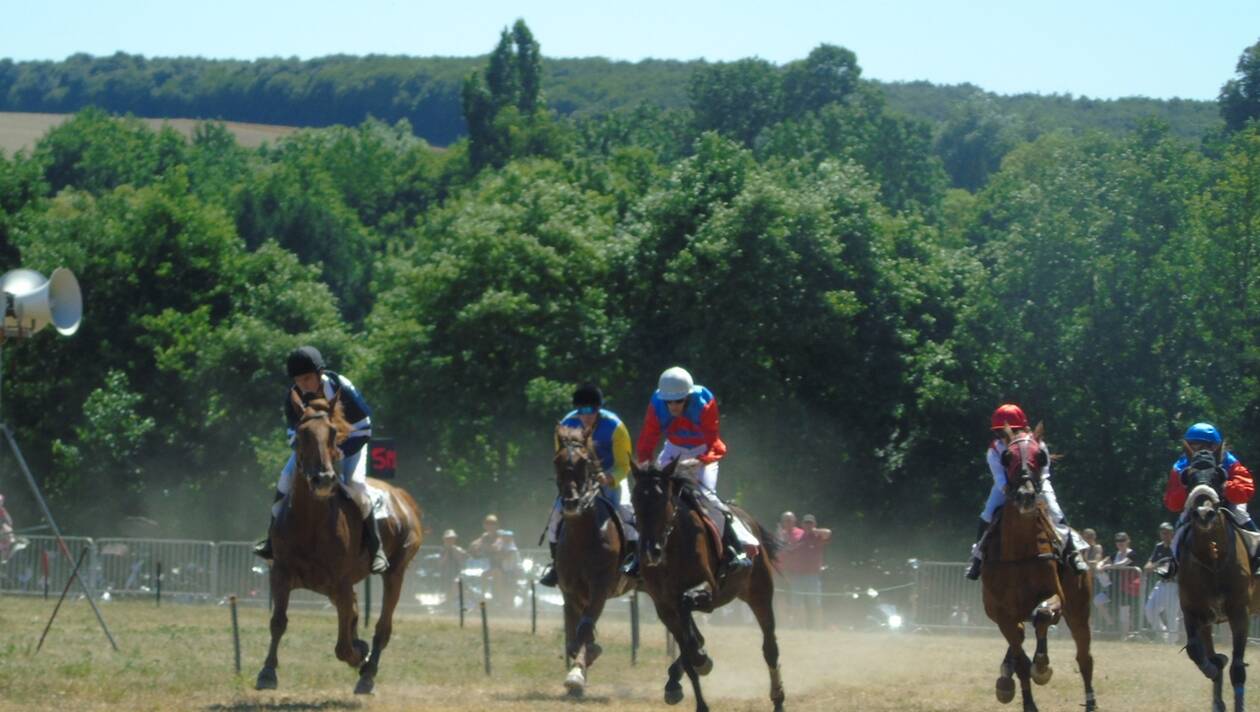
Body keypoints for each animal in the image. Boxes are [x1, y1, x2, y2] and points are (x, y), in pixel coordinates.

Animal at [254, 388, 423, 695]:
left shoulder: (341, 583)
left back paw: (368, 674)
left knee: (382, 626)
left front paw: (359, 657)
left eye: (333, 432)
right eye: (302, 433)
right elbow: (278, 622)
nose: (323, 479)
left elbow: (343, 647)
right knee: (356, 614)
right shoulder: (281, 573)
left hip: (395, 571)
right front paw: (267, 672)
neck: (310, 522)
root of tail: (403, 497)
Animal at [551, 425, 635, 695]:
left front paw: (577, 673)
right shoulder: (570, 591)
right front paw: (581, 665)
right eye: (557, 461)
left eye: (584, 461)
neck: (583, 537)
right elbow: (573, 636)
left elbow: (585, 628)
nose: (570, 502)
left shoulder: (600, 587)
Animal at [627, 458, 776, 705]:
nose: (649, 551)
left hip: (759, 593)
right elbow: (689, 649)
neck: (671, 549)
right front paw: (687, 679)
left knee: (770, 647)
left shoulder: (708, 591)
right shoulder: (664, 606)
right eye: (635, 499)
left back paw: (778, 698)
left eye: (664, 500)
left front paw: (700, 659)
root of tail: (750, 520)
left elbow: (688, 617)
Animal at [972, 425, 1093, 705]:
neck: (1018, 551)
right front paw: (1017, 687)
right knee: (1019, 640)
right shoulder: (1001, 613)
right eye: (1006, 457)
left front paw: (1042, 667)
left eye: (1041, 455)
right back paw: (1005, 676)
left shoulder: (1056, 597)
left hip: (1079, 611)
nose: (1026, 496)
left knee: (1084, 658)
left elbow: (1044, 614)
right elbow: (1020, 660)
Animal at [1169, 443, 1260, 710]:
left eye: (1219, 475)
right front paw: (1214, 665)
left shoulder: (1240, 612)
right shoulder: (1194, 611)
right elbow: (1197, 651)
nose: (1204, 512)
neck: (1213, 557)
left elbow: (1238, 668)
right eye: (1187, 476)